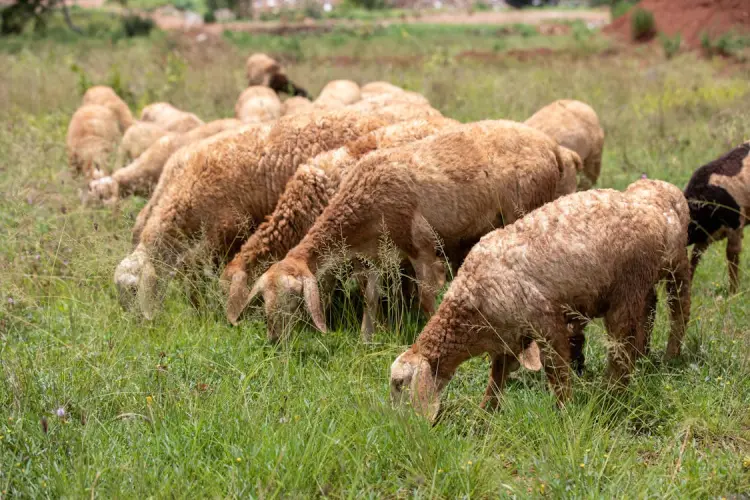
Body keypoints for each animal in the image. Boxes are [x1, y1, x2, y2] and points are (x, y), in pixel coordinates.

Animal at [244, 120, 583, 342]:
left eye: (294, 299)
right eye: (263, 298)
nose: (273, 340)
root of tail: (553, 148)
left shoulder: (421, 248)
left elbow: (427, 297)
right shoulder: (375, 255)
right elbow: (370, 297)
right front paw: (368, 338)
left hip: (526, 206)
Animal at [389, 179, 692, 420]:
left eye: (399, 384)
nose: (401, 426)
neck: (469, 304)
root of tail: (649, 207)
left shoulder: (546, 321)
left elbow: (555, 370)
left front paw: (565, 411)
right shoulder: (508, 337)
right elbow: (497, 376)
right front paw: (484, 414)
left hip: (633, 285)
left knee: (639, 337)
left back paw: (614, 391)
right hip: (639, 288)